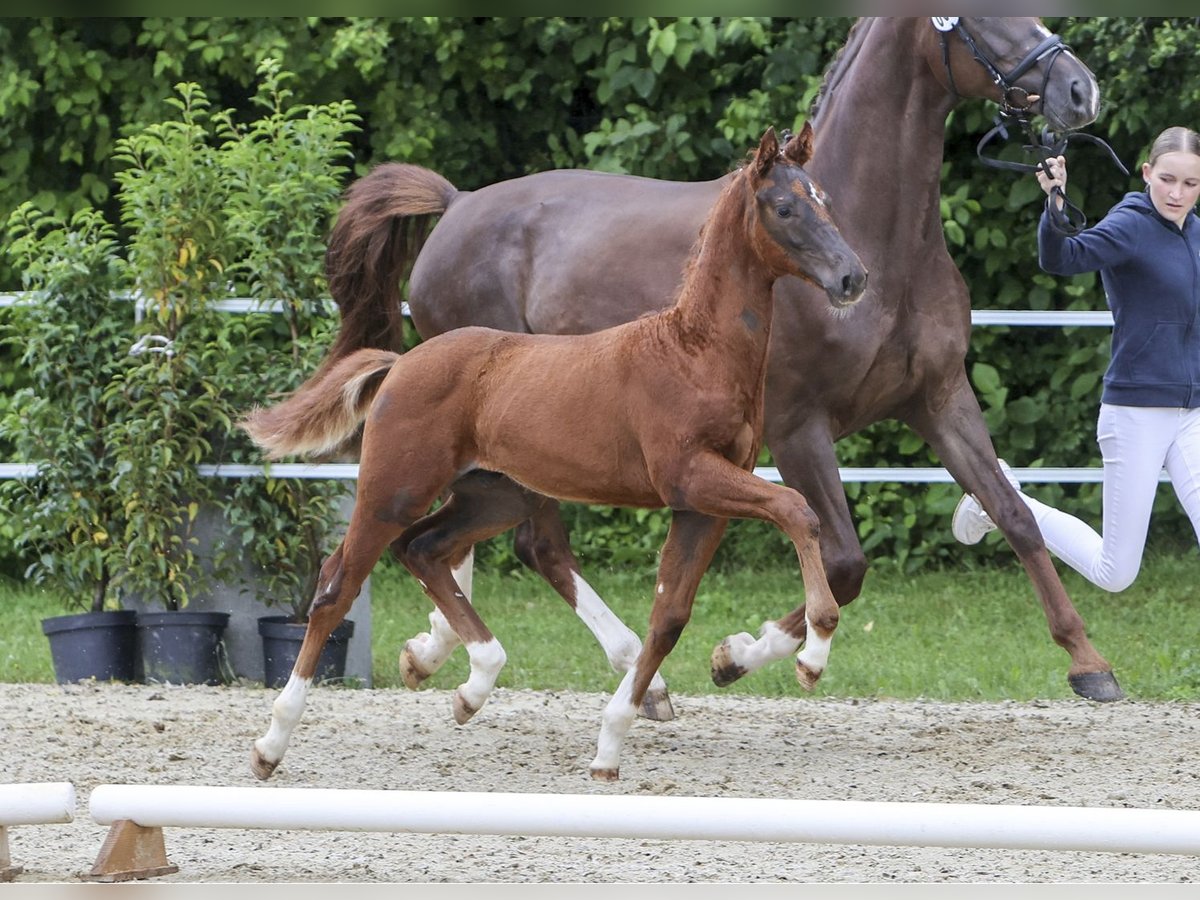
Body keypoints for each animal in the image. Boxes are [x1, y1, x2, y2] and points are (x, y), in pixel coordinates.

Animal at [243, 127, 868, 782]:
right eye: (786, 208)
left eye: (824, 200)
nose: (852, 278)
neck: (694, 351)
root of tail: (400, 364)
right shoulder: (692, 478)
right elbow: (797, 508)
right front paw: (814, 654)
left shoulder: (703, 504)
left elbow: (669, 617)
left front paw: (611, 744)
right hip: (395, 490)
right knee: (336, 586)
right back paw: (271, 743)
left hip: (494, 495)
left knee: (425, 549)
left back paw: (473, 683)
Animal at [321, 17, 1123, 705]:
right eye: (979, 13)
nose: (1079, 90)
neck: (878, 236)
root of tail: (455, 205)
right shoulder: (799, 428)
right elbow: (843, 560)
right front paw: (740, 655)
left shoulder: (938, 397)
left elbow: (1013, 513)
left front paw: (1089, 664)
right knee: (534, 542)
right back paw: (630, 678)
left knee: (473, 540)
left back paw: (436, 652)